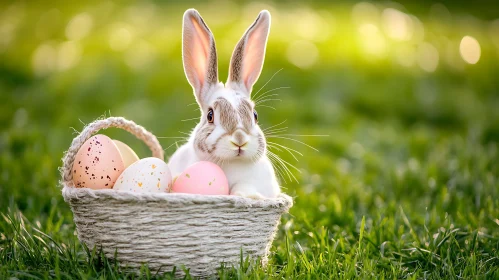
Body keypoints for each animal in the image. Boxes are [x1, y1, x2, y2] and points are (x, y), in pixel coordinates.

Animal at [169, 7, 282, 198]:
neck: (231, 164)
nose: (239, 138)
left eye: (255, 115)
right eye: (210, 115)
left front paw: (248, 195)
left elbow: (245, 186)